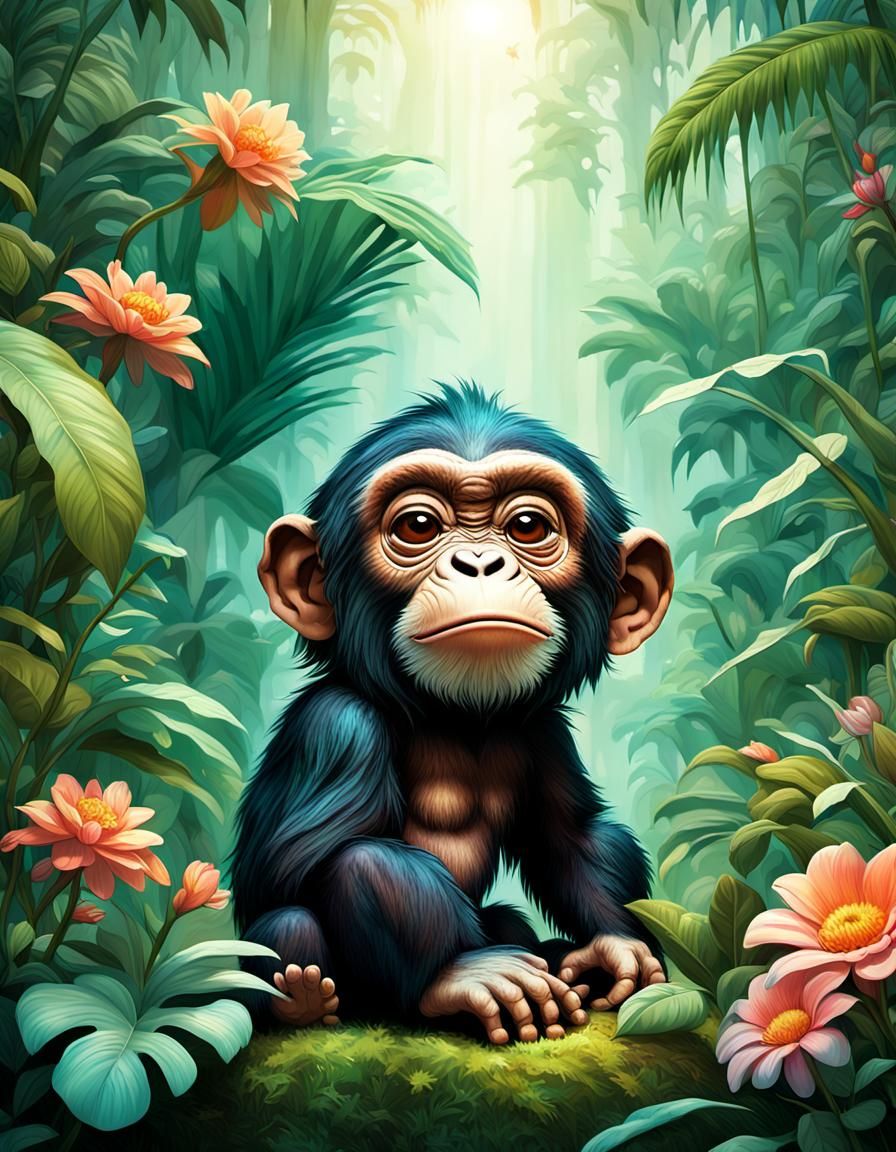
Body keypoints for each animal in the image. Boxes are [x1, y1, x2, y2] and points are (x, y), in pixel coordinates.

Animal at [231, 383, 673, 1044]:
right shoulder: (338, 726)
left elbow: (572, 837)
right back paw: (306, 1001)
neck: (453, 716)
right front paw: (463, 975)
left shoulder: (545, 731)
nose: (480, 564)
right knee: (292, 924)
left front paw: (615, 948)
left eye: (527, 525)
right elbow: (316, 866)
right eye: (417, 525)